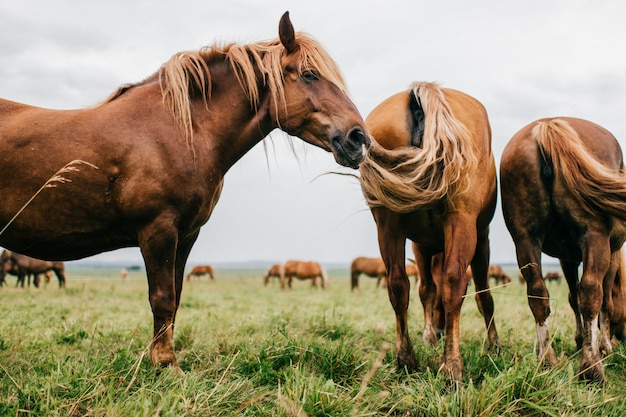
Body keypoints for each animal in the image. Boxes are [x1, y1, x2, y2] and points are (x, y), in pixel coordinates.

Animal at [0, 12, 370, 374]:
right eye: (309, 74)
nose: (359, 138)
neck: (181, 130)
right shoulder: (158, 230)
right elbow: (162, 297)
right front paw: (166, 364)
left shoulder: (187, 234)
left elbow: (175, 297)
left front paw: (161, 359)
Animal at [358, 81, 500, 380]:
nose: (439, 327)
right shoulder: (482, 238)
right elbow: (483, 294)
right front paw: (493, 345)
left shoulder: (419, 246)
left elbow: (426, 290)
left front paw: (431, 336)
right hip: (462, 221)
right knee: (454, 281)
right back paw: (452, 366)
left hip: (388, 226)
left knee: (398, 284)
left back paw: (406, 358)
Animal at [500, 116, 626, 380]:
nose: (624, 337)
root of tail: (547, 125)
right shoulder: (612, 255)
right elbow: (606, 300)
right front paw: (606, 345)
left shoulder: (566, 259)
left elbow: (572, 296)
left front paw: (580, 340)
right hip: (594, 236)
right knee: (591, 292)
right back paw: (591, 366)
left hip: (525, 240)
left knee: (538, 295)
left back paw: (547, 360)